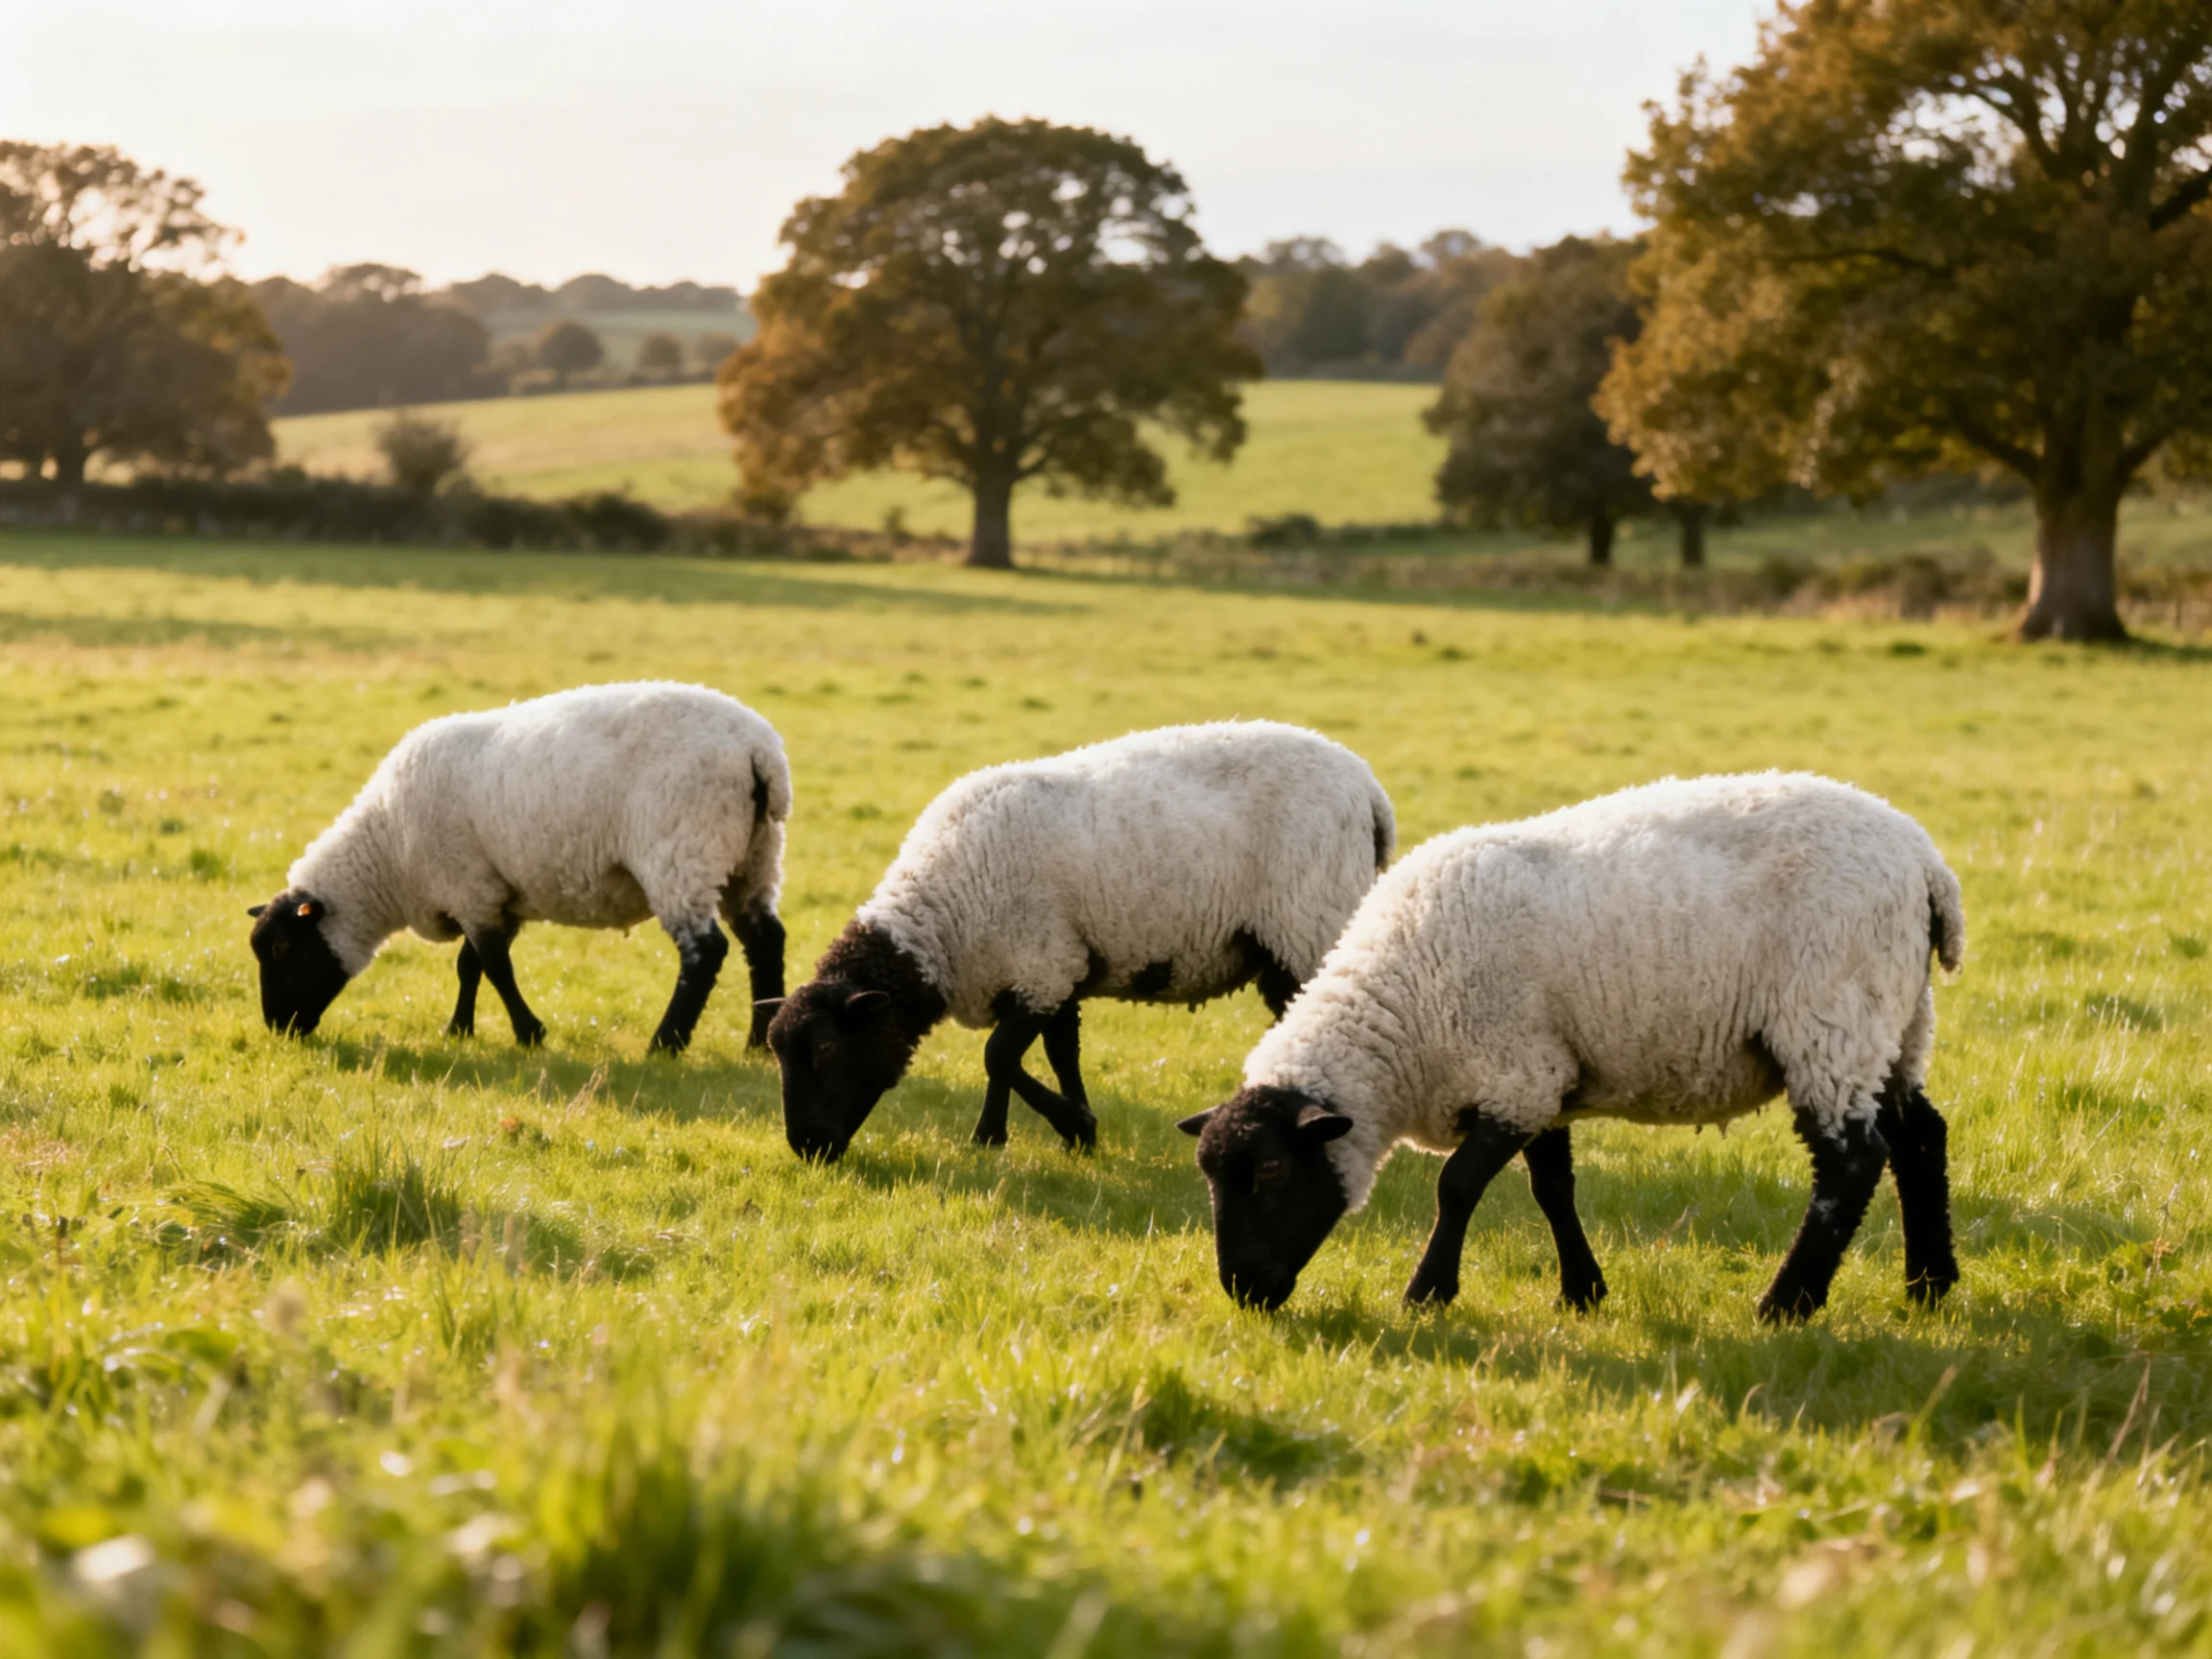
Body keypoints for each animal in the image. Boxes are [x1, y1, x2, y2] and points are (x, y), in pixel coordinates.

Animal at [248, 681, 790, 1054]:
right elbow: (470, 966)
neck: (387, 854)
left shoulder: (467, 886)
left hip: (682, 853)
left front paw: (529, 1032)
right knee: (765, 942)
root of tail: (758, 751)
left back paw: (665, 1044)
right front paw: (459, 1029)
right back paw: (760, 1041)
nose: (278, 1027)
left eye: (280, 948)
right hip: (753, 858)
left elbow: (493, 966)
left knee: (705, 953)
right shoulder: (489, 892)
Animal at [763, 721, 1396, 1162]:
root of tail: (1369, 790)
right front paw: (1031, 1135)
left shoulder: (1043, 966)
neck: (944, 921)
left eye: (825, 1049)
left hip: (1310, 921)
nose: (806, 1147)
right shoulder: (1058, 966)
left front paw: (1068, 1125)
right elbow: (1054, 1052)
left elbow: (998, 1054)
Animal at [1178, 772, 1965, 1324]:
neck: (1403, 1020)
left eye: (1273, 1169)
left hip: (1828, 1014)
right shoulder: (1544, 1076)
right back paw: (1930, 1284)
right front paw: (1582, 1292)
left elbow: (1455, 1186)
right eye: (1210, 1176)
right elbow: (1552, 1188)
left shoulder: (1516, 1076)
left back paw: (1787, 1304)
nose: (1242, 1290)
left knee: (1851, 1162)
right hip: (1895, 1022)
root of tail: (1926, 863)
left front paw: (1427, 1293)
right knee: (1920, 1139)